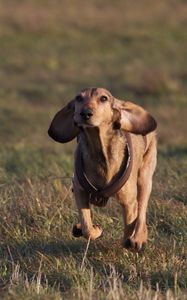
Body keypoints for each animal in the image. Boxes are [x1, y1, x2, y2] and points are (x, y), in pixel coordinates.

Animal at [48, 87, 156, 251]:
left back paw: (139, 238)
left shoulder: (129, 202)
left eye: (104, 98)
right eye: (78, 98)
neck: (99, 149)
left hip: (145, 178)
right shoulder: (79, 190)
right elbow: (87, 226)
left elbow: (130, 225)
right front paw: (94, 229)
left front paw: (129, 242)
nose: (85, 113)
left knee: (142, 210)